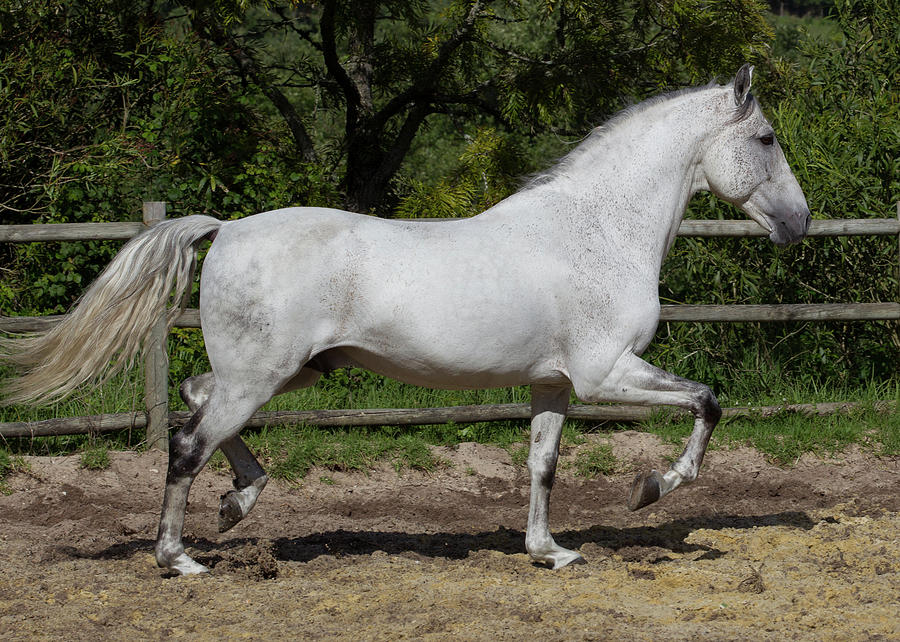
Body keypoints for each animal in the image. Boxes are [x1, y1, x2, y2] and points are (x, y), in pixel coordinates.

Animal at [0, 66, 812, 576]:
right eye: (767, 139)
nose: (799, 223)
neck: (599, 230)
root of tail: (225, 229)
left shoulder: (553, 384)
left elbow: (542, 464)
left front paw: (549, 551)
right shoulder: (605, 372)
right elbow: (707, 402)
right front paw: (652, 488)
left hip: (281, 372)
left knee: (199, 405)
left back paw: (238, 504)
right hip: (261, 376)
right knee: (187, 442)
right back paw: (181, 557)